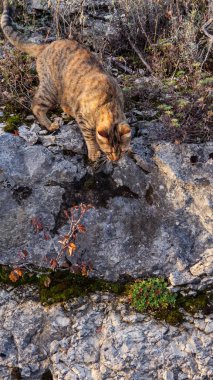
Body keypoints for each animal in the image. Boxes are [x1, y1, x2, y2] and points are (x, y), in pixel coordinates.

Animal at [0, 0, 131, 160]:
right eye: (109, 152)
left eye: (122, 151)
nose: (115, 161)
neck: (109, 102)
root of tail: (46, 46)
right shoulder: (84, 119)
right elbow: (89, 136)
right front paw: (93, 152)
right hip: (50, 90)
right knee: (36, 105)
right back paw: (50, 125)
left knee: (63, 104)